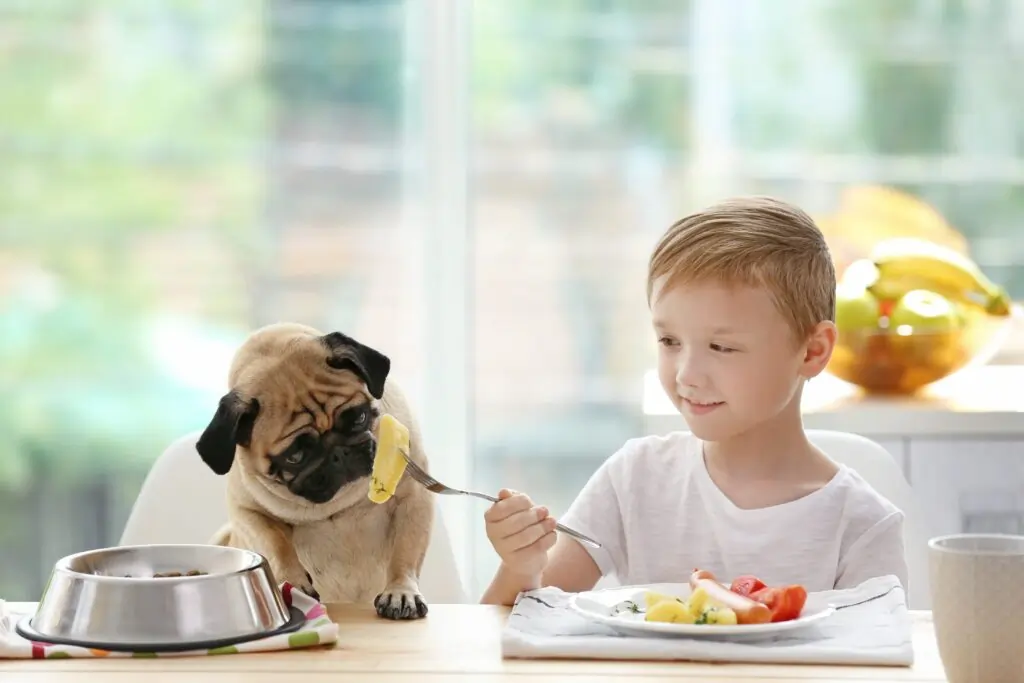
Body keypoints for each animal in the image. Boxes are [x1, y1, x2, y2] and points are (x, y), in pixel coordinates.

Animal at [194, 321, 432, 618]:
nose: (339, 454)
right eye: (295, 456)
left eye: (359, 418)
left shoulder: (413, 498)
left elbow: (405, 552)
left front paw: (401, 592)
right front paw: (292, 581)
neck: (339, 503)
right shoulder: (249, 513)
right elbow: (276, 544)